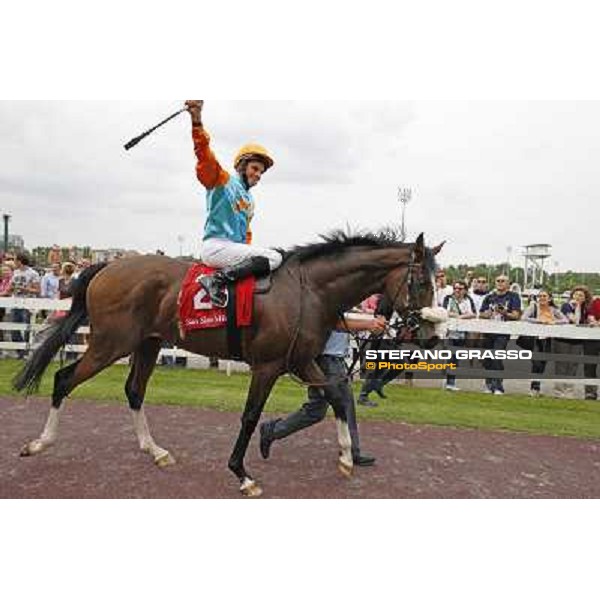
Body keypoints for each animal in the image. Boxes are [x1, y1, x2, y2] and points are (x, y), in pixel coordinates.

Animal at [12, 230, 440, 496]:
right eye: (422, 283)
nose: (429, 333)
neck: (308, 291)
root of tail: (109, 265)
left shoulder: (300, 361)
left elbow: (335, 395)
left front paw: (348, 457)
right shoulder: (268, 365)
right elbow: (250, 416)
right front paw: (242, 473)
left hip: (147, 344)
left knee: (133, 390)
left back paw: (155, 450)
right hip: (110, 343)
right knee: (64, 379)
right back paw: (39, 443)